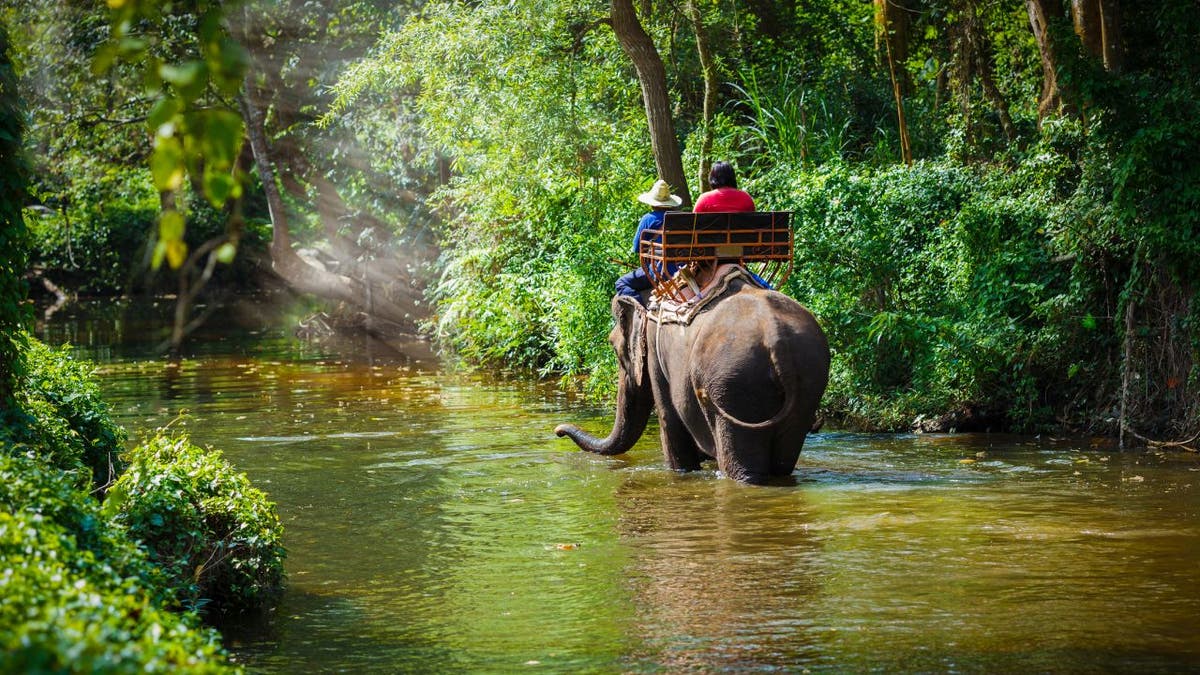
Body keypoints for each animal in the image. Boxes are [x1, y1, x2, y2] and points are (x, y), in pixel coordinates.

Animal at [556, 267, 830, 482]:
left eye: (613, 347)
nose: (558, 431)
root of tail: (776, 339)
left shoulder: (655, 352)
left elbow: (669, 419)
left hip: (735, 385)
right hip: (807, 381)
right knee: (784, 461)